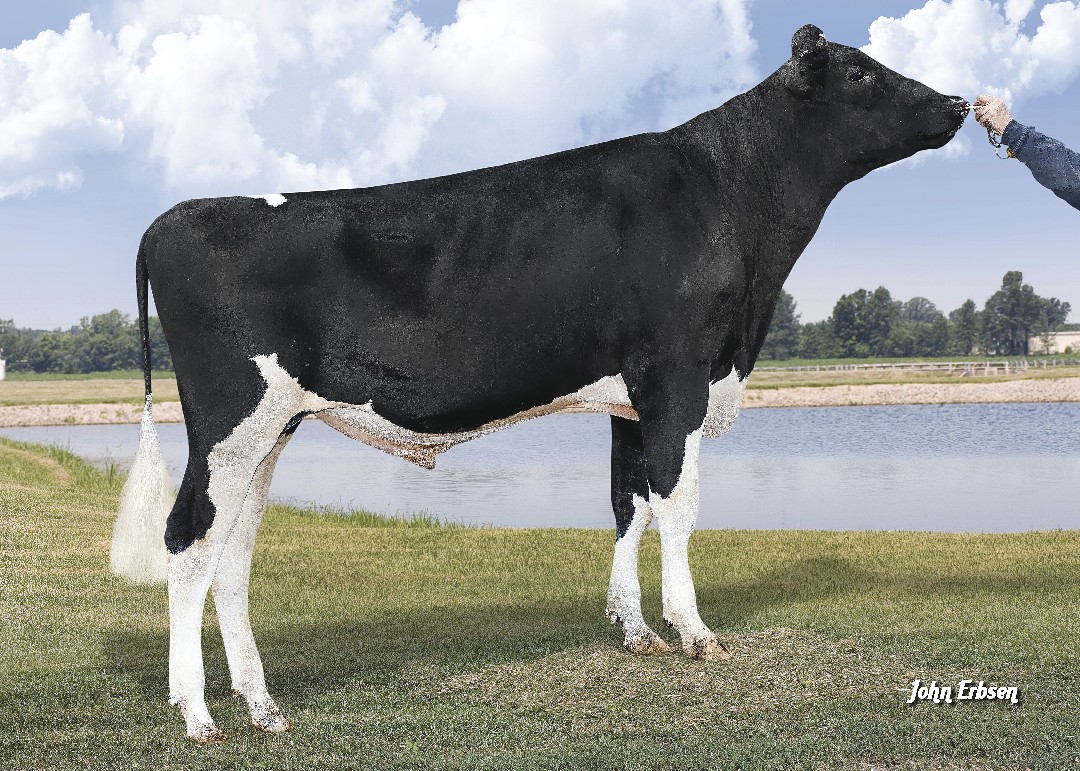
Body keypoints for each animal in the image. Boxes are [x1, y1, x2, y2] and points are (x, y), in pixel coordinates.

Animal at [110, 25, 967, 742]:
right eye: (860, 72)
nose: (958, 103)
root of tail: (170, 218)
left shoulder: (630, 398)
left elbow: (628, 502)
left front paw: (634, 630)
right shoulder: (678, 377)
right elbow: (679, 505)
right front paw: (694, 631)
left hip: (269, 429)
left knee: (233, 550)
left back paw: (262, 705)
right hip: (231, 420)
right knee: (188, 537)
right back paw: (197, 713)